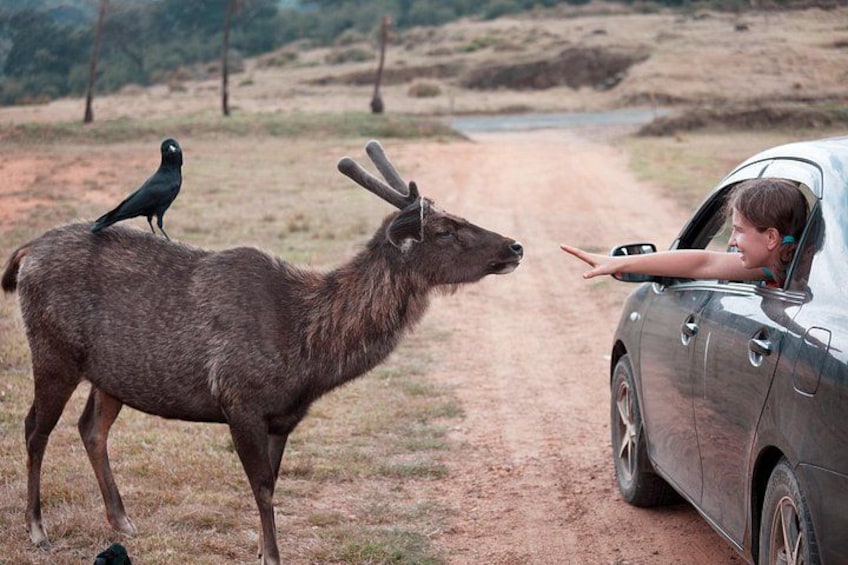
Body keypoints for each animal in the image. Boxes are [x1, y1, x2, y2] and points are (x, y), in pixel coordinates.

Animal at [1, 139, 523, 564]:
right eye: (445, 230)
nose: (515, 246)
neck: (307, 351)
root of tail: (26, 252)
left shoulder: (284, 416)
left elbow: (271, 483)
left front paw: (259, 548)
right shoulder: (240, 398)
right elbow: (263, 487)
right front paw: (271, 555)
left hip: (111, 374)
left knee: (91, 428)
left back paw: (123, 521)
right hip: (52, 350)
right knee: (34, 428)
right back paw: (37, 530)